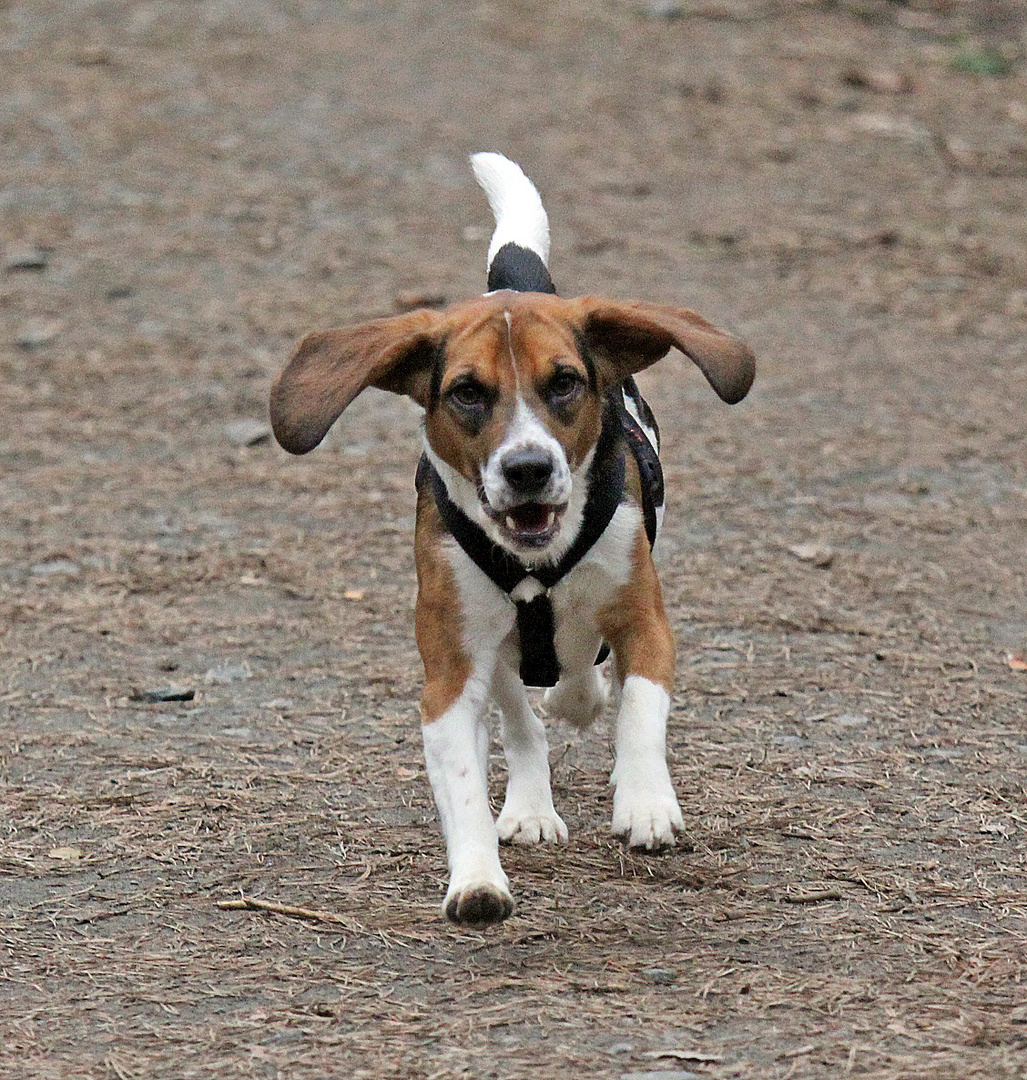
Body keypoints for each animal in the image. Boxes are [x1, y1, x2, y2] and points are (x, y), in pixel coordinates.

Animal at [273, 154, 755, 928]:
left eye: (564, 383)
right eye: (467, 393)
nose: (526, 468)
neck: (538, 560)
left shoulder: (643, 619)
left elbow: (640, 711)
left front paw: (646, 803)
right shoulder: (450, 672)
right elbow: (469, 775)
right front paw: (476, 880)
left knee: (581, 681)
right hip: (492, 652)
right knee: (522, 719)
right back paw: (532, 800)